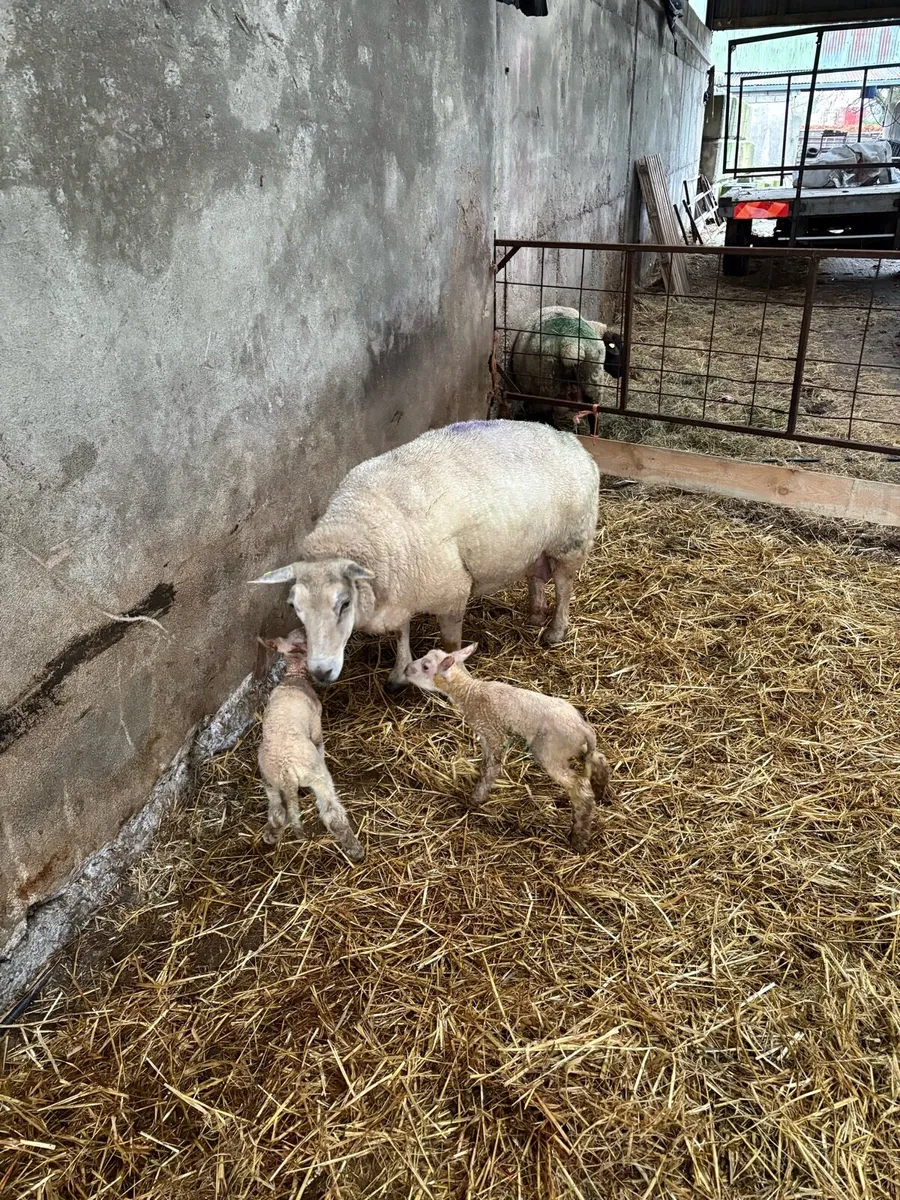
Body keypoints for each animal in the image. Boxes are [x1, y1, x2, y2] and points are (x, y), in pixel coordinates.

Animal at [250, 419, 600, 690]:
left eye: (344, 603)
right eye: (295, 607)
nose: (321, 673)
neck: (361, 521)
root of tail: (571, 441)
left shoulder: (451, 592)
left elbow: (450, 644)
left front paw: (454, 674)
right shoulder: (400, 590)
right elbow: (400, 634)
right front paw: (398, 674)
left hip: (570, 541)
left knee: (564, 587)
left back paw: (555, 631)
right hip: (534, 545)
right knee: (536, 576)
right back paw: (535, 613)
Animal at [257, 629, 364, 862]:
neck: (294, 677)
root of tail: (286, 771)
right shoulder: (316, 724)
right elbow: (320, 745)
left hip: (269, 778)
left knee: (277, 811)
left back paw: (272, 834)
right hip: (316, 774)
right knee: (331, 811)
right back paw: (353, 848)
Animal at [404, 643, 612, 852]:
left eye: (426, 666)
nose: (405, 670)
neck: (469, 691)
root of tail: (583, 728)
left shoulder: (491, 733)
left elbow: (490, 767)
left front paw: (475, 799)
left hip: (551, 752)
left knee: (580, 789)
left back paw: (579, 839)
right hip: (576, 748)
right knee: (599, 759)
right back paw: (601, 793)